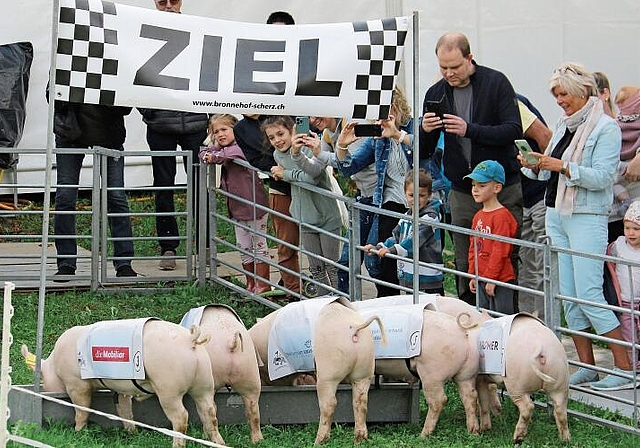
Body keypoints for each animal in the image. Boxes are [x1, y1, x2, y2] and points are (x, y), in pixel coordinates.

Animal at [21, 318, 225, 448]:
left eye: (42, 378)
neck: (55, 364)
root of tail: (191, 339)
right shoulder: (121, 388)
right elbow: (124, 408)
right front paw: (131, 433)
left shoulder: (76, 384)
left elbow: (82, 409)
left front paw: (77, 431)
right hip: (205, 383)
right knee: (210, 412)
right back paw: (219, 443)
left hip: (169, 388)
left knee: (181, 417)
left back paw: (177, 445)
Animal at [186, 304, 264, 444]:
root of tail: (231, 342)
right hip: (250, 375)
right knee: (253, 410)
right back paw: (257, 441)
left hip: (209, 380)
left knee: (210, 411)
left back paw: (212, 440)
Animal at [436, 298, 568, 444]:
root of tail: (541, 348)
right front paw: (497, 415)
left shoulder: (480, 377)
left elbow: (483, 400)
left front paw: (485, 429)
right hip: (560, 378)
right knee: (560, 409)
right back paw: (565, 440)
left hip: (516, 382)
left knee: (527, 407)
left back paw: (517, 438)